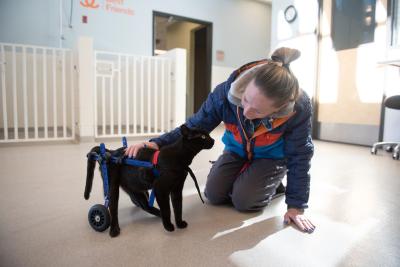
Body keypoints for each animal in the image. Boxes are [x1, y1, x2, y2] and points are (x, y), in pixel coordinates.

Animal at [85, 124, 216, 238]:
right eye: (203, 137)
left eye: (208, 135)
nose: (213, 140)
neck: (179, 159)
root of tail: (110, 152)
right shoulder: (161, 189)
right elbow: (167, 209)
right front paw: (168, 226)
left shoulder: (177, 188)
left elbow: (178, 207)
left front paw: (179, 223)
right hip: (113, 187)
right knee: (112, 207)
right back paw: (114, 230)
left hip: (136, 190)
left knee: (144, 205)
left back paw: (158, 213)